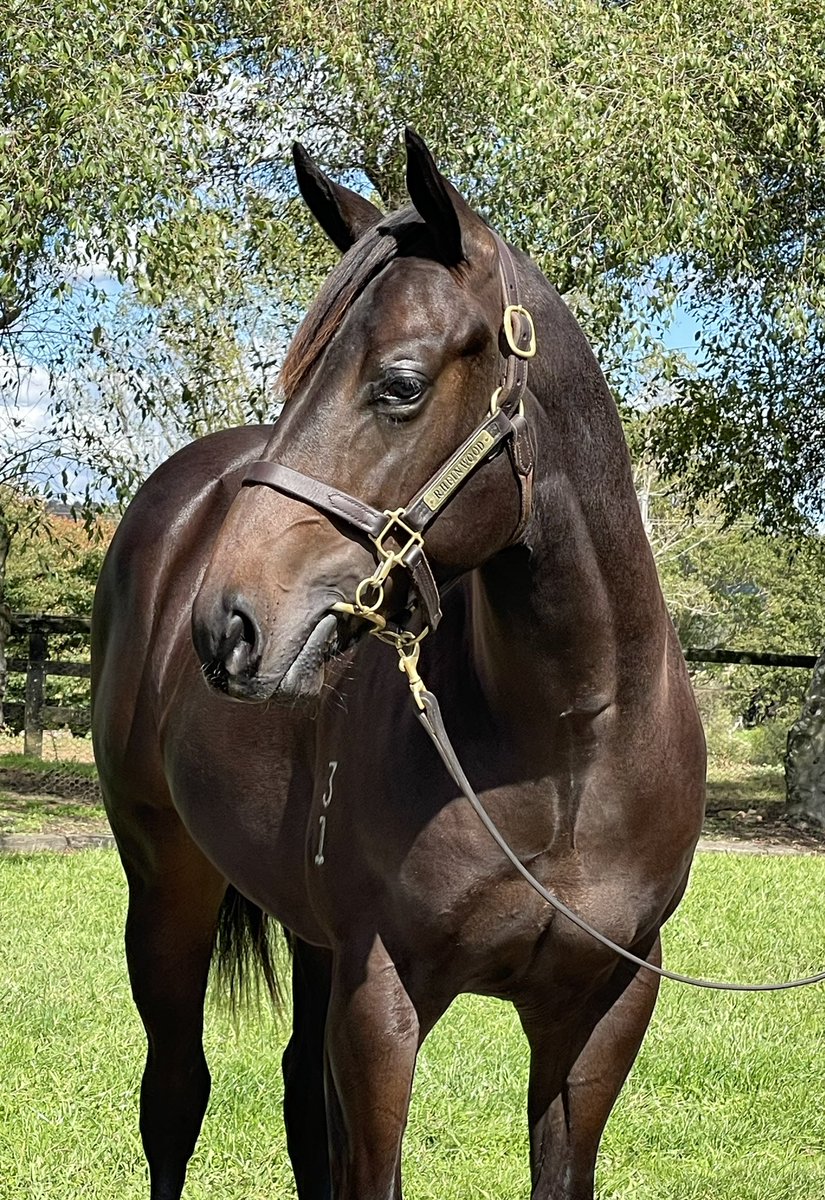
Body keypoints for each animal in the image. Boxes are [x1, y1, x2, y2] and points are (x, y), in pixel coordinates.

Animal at [93, 126, 705, 1195]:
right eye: (294, 382)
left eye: (401, 386)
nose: (227, 627)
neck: (572, 743)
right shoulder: (383, 1002)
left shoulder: (604, 1008)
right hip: (166, 883)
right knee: (174, 1095)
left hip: (310, 935)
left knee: (298, 1101)